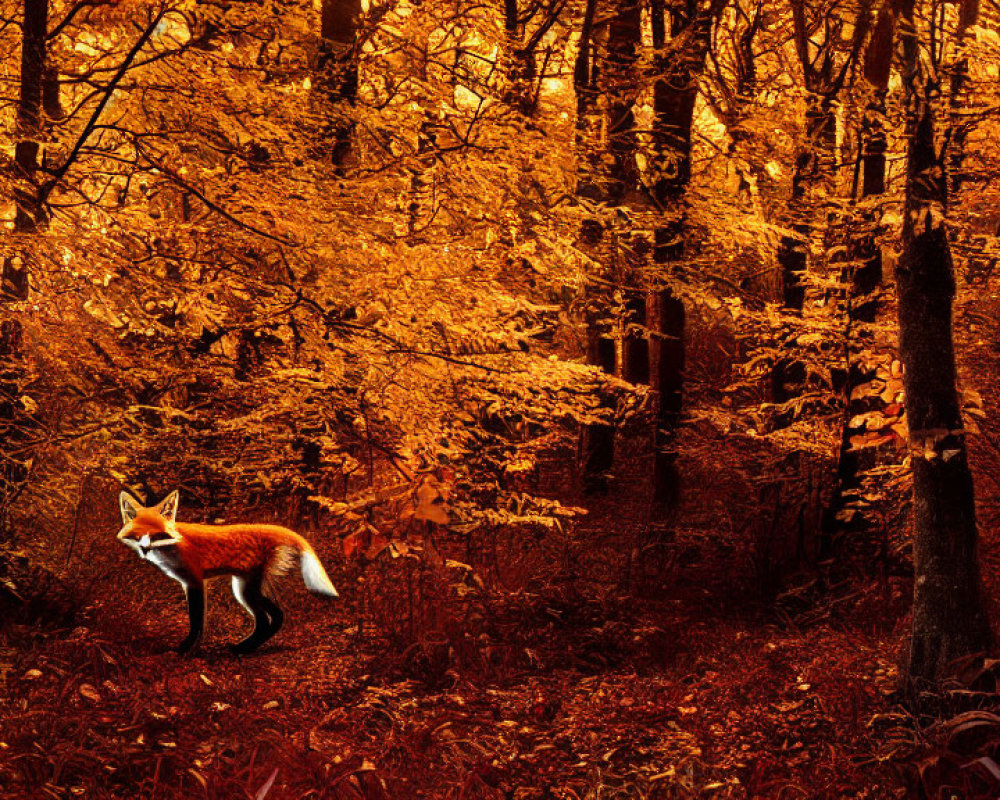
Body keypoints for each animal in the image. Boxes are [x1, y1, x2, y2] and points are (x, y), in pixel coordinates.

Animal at [117, 488, 340, 656]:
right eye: (137, 536)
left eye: (156, 535)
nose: (145, 550)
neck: (173, 546)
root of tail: (265, 527)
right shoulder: (187, 584)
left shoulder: (195, 581)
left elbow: (197, 622)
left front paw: (187, 651)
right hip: (244, 589)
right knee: (277, 615)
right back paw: (248, 648)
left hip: (245, 592)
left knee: (263, 622)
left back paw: (240, 650)